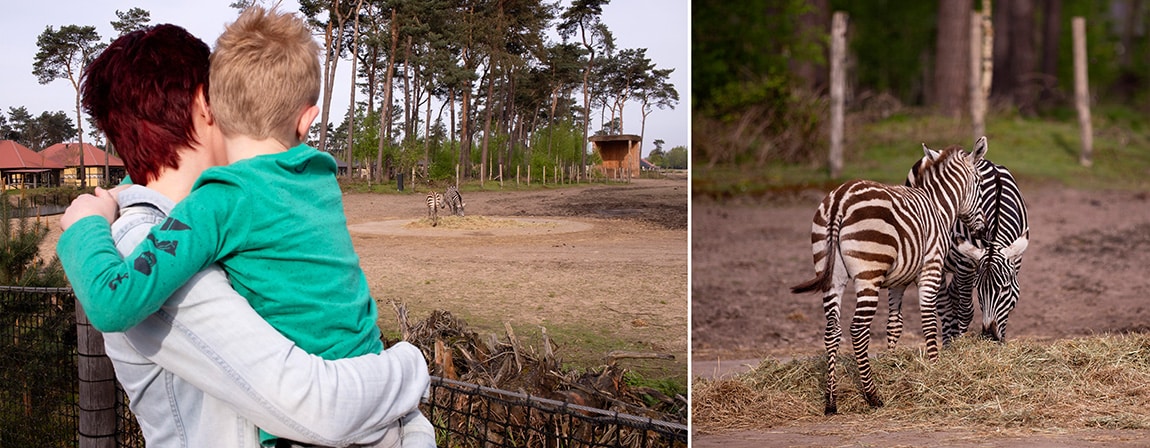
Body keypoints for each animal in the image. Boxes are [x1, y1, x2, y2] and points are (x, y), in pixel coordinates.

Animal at [791, 137, 987, 415]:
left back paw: (831, 400)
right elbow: (929, 321)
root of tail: (840, 199)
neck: (939, 206)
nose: (982, 231)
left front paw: (894, 364)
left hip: (831, 276)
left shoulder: (898, 284)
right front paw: (935, 369)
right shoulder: (931, 269)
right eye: (980, 183)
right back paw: (873, 396)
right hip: (868, 276)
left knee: (832, 331)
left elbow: (894, 325)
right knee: (857, 330)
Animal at [886, 157, 1029, 346]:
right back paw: (948, 342)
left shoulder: (1015, 260)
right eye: (979, 289)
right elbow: (966, 311)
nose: (989, 336)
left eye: (1005, 288)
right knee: (944, 304)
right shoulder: (966, 263)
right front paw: (959, 344)